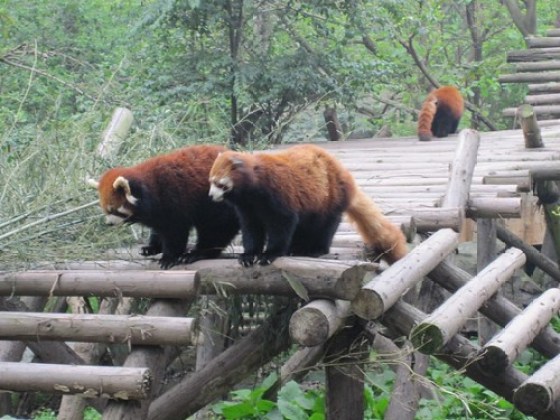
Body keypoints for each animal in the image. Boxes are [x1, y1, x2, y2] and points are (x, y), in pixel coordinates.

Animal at [89, 144, 241, 270]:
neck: (150, 189)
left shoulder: (173, 199)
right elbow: (158, 230)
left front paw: (169, 257)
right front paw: (152, 247)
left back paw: (198, 253)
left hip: (216, 203)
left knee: (216, 228)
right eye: (105, 210)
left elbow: (175, 232)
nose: (108, 223)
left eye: (113, 210)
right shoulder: (157, 213)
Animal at [209, 144, 406, 266]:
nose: (211, 196)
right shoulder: (247, 207)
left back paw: (316, 249)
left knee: (325, 225)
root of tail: (344, 172)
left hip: (330, 196)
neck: (253, 188)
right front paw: (248, 255)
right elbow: (251, 230)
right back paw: (296, 248)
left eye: (220, 184)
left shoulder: (278, 193)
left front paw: (270, 254)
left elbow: (283, 224)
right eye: (210, 181)